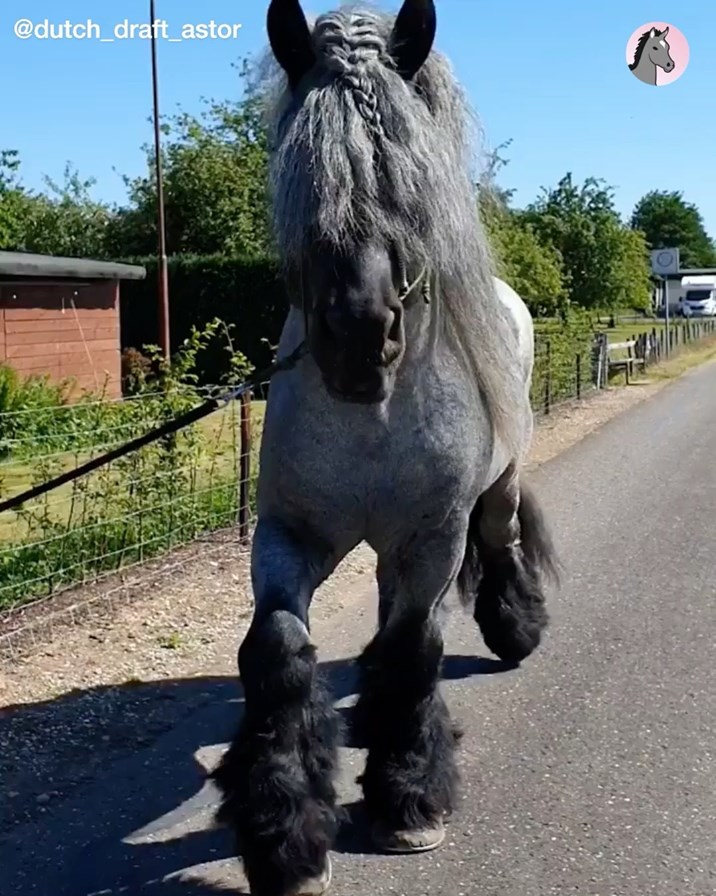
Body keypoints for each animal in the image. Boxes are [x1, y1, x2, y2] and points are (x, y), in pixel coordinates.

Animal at [212, 2, 559, 893]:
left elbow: (415, 646)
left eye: (404, 172)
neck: (373, 413)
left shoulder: (433, 534)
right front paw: (282, 831)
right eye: (300, 170)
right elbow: (279, 649)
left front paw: (409, 795)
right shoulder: (289, 534)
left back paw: (513, 630)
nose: (359, 338)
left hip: (495, 494)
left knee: (495, 549)